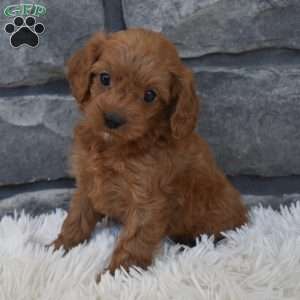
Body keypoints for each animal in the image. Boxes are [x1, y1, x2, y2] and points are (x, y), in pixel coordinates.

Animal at [52, 28, 248, 278]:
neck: (115, 146)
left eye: (150, 95)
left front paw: (117, 275)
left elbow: (133, 240)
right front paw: (60, 247)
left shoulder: (147, 201)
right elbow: (77, 217)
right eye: (104, 78)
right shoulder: (87, 182)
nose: (112, 119)